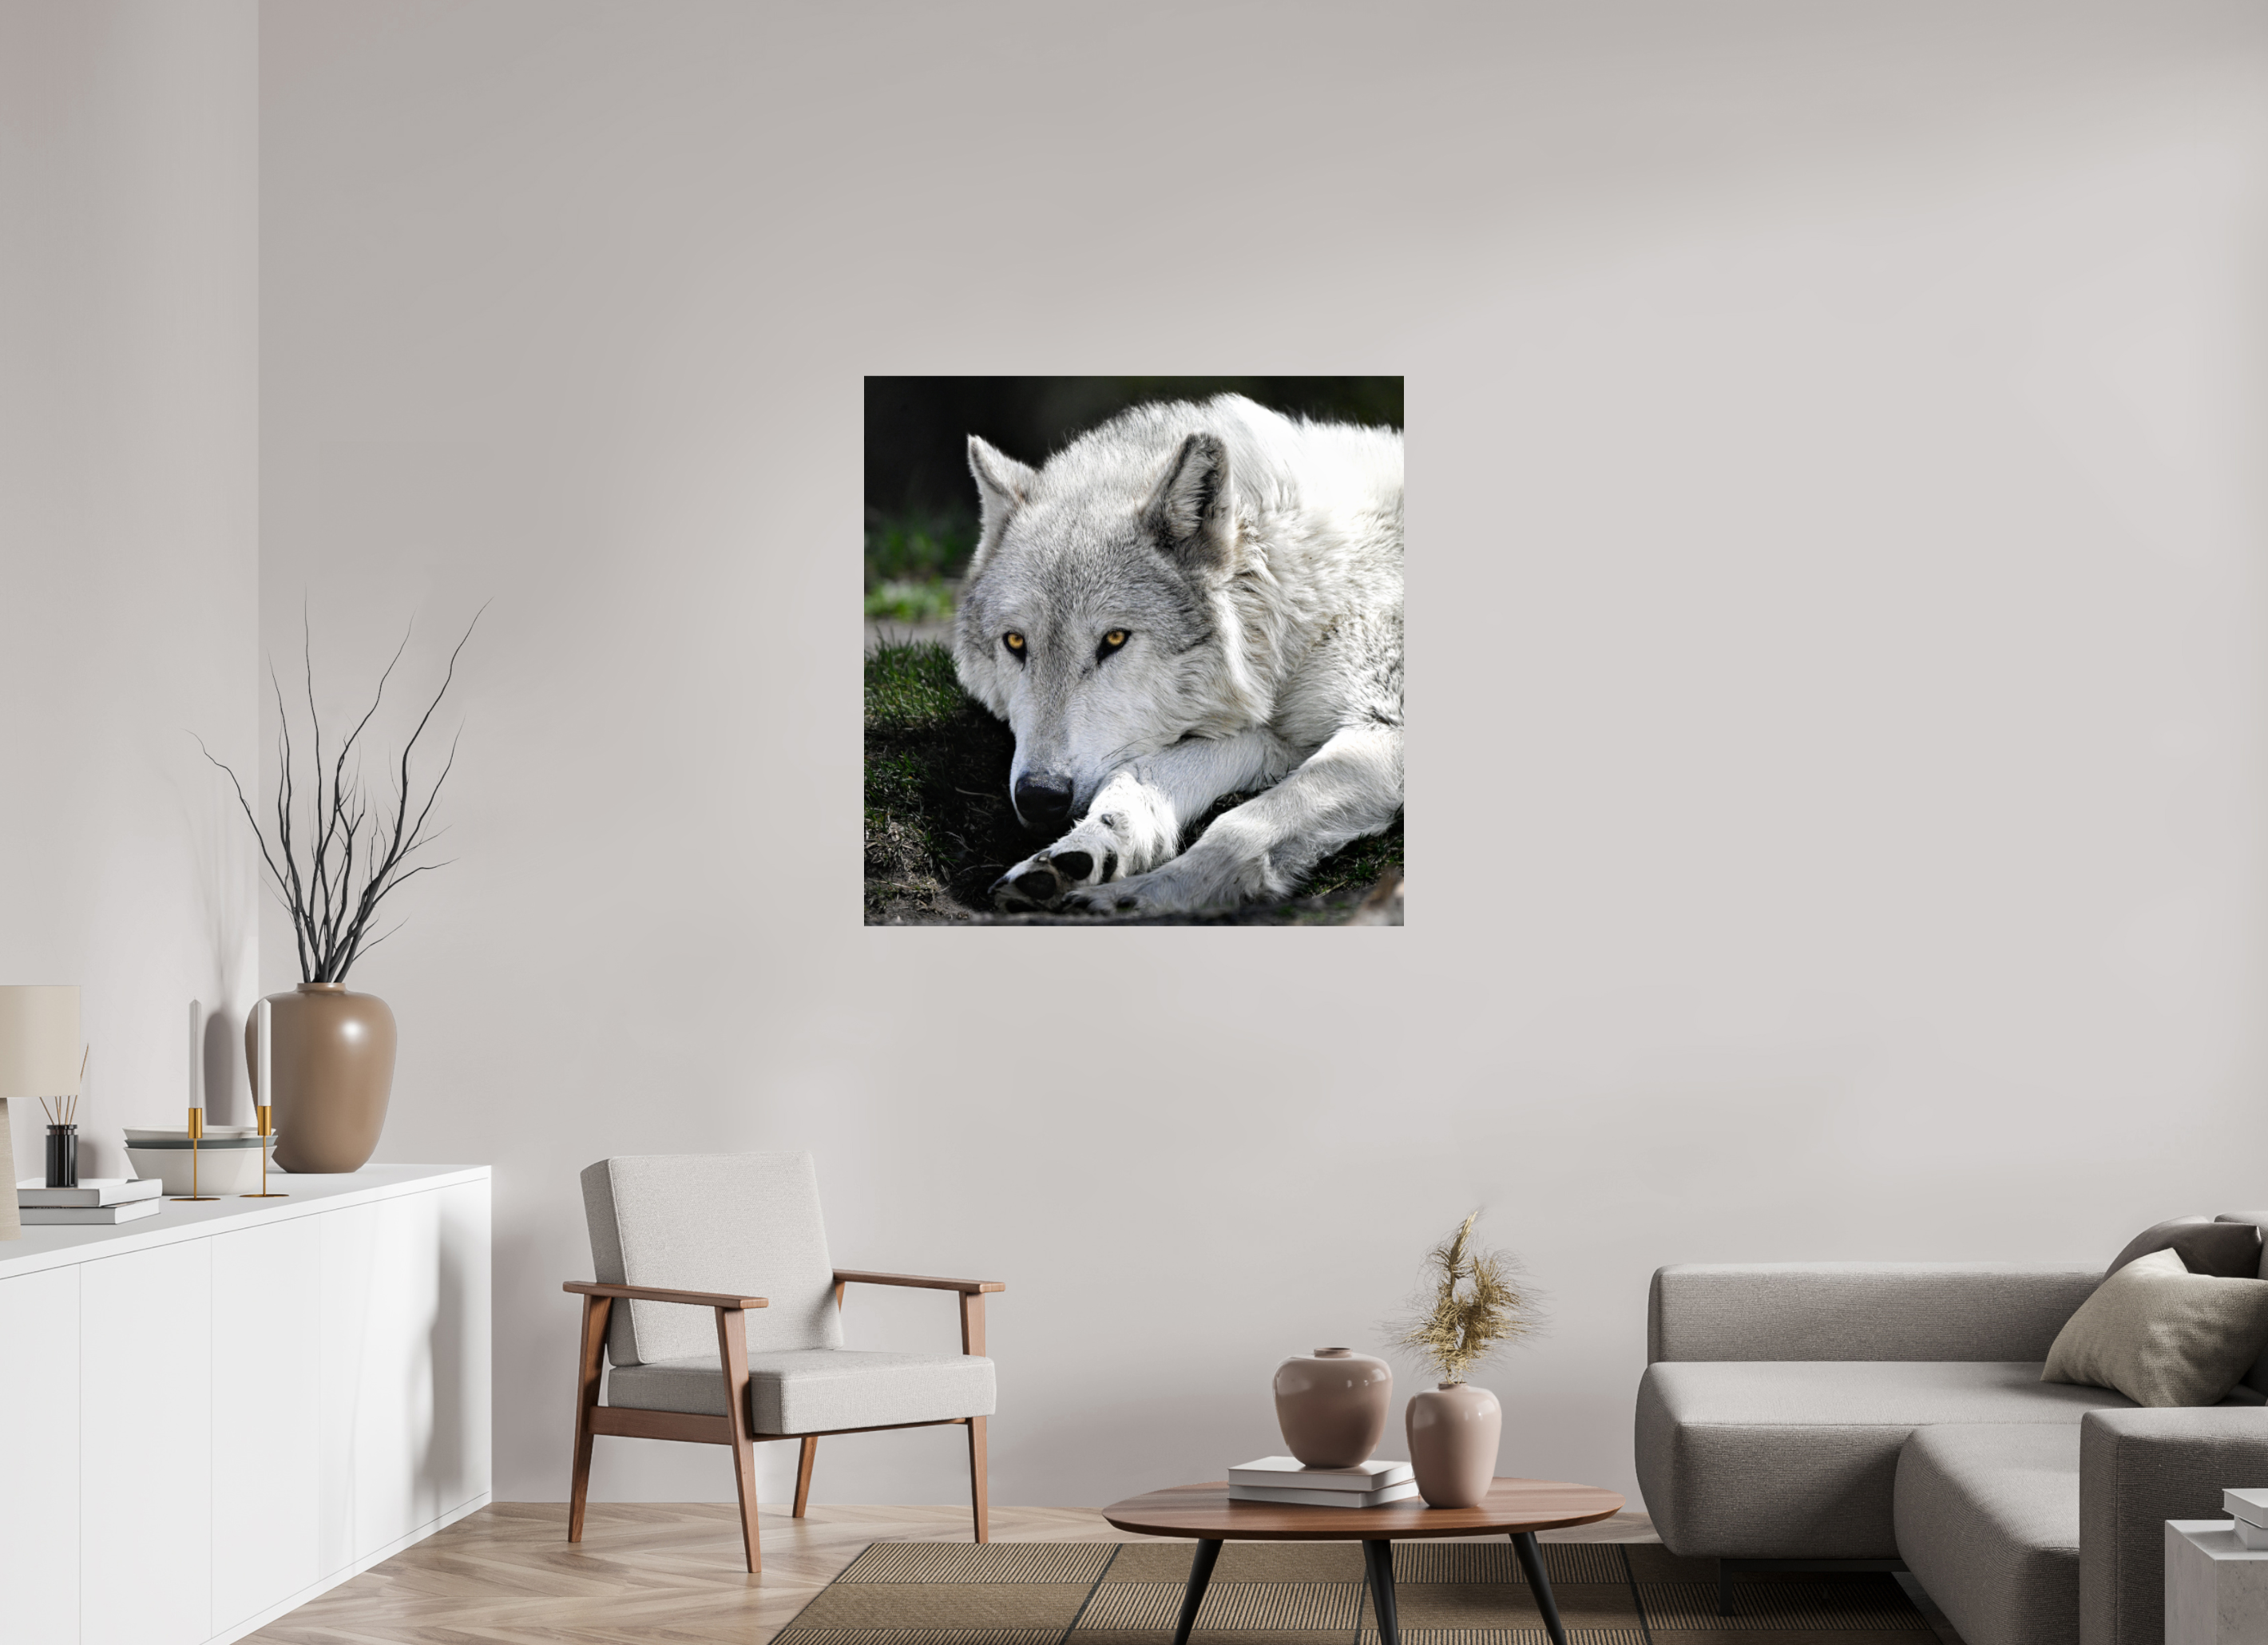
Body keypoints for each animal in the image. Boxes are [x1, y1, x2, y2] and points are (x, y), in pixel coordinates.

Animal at [953, 394, 1403, 915]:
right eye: (1015, 643)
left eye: (1114, 639)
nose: (1038, 797)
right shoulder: (1277, 739)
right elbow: (1135, 775)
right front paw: (1084, 851)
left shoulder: (1384, 729)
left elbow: (1241, 824)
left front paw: (1140, 898)